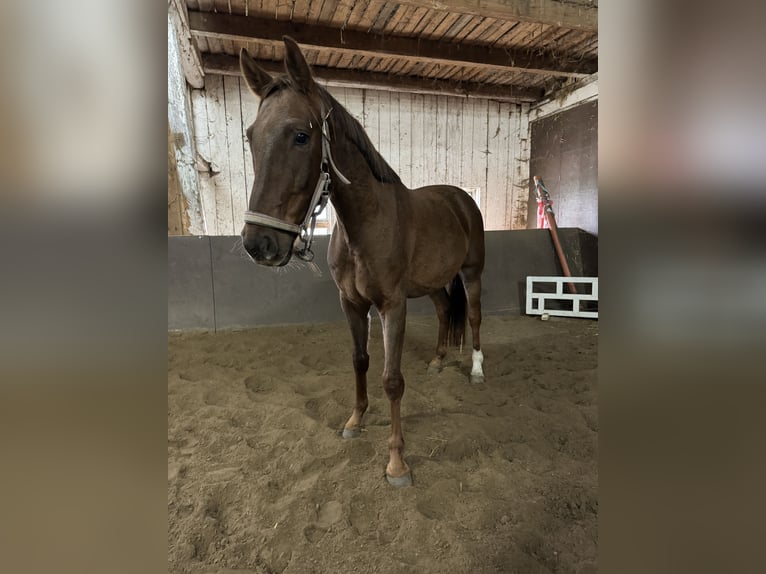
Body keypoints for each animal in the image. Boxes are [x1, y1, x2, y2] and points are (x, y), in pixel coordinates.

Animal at [240, 37, 486, 486]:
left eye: (300, 135)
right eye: (251, 137)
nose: (258, 243)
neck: (366, 223)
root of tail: (461, 198)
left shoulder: (392, 305)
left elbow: (392, 379)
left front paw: (397, 463)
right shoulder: (352, 304)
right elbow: (359, 361)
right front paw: (355, 421)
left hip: (472, 273)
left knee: (474, 317)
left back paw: (476, 370)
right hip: (434, 284)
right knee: (445, 311)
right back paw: (439, 360)